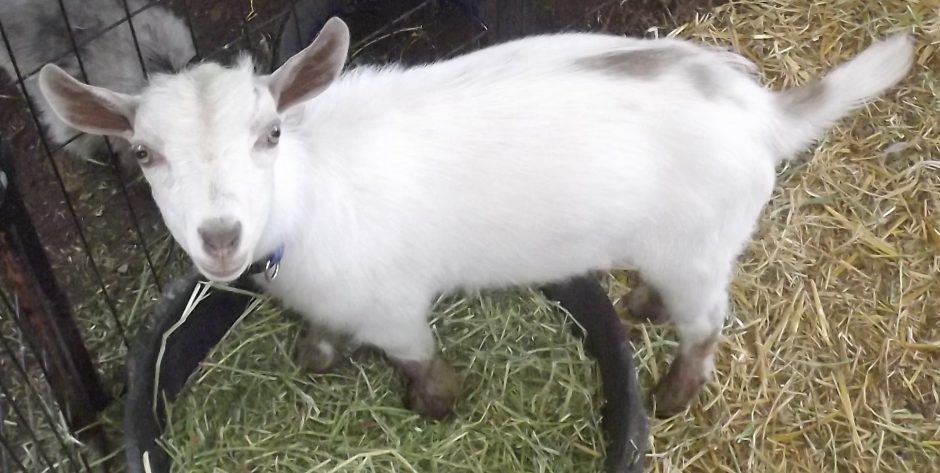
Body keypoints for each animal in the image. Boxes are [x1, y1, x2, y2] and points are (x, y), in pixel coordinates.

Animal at [37, 18, 914, 418]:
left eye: (270, 133)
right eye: (144, 153)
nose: (219, 238)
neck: (312, 190)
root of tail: (764, 112)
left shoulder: (394, 306)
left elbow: (420, 362)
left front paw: (438, 407)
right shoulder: (327, 293)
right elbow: (320, 344)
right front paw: (318, 354)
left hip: (701, 247)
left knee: (707, 322)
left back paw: (672, 392)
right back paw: (638, 304)